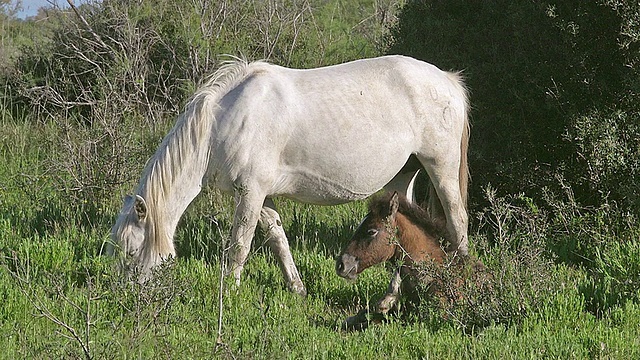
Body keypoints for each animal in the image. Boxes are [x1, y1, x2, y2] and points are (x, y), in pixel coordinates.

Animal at [110, 55, 470, 296]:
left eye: (131, 251)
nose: (125, 297)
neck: (222, 123)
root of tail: (447, 80)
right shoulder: (262, 196)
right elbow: (277, 238)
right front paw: (296, 288)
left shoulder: (250, 192)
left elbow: (239, 245)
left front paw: (230, 291)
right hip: (403, 176)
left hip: (441, 166)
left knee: (457, 219)